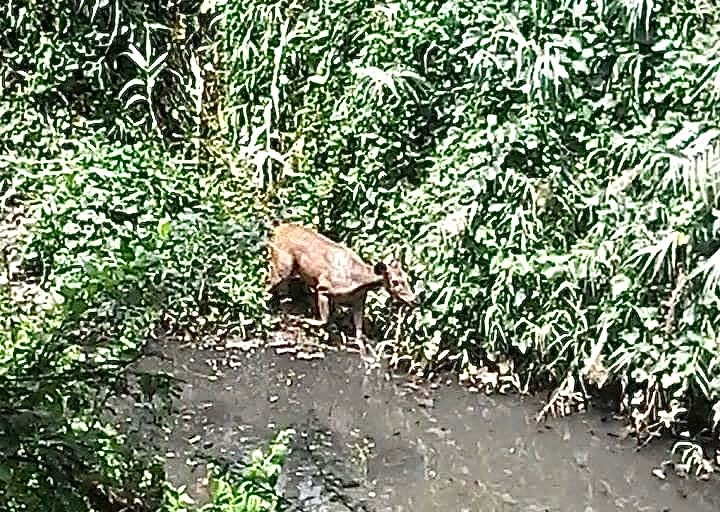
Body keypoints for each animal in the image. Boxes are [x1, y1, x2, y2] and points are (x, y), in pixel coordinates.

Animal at [268, 222, 420, 350]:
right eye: (395, 282)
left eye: (407, 278)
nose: (415, 300)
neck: (356, 282)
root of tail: (277, 229)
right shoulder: (323, 287)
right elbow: (324, 320)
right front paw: (303, 321)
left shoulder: (359, 299)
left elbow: (358, 331)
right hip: (282, 266)